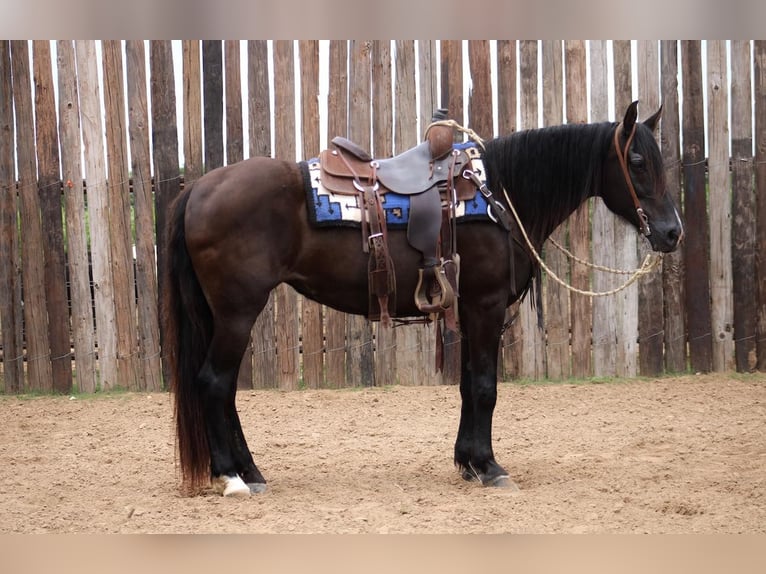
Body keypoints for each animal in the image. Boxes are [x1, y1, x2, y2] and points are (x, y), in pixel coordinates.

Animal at [162, 101, 684, 498]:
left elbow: (469, 385)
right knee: (214, 383)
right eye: (638, 162)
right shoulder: (486, 306)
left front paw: (468, 462)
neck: (499, 195)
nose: (672, 232)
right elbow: (485, 387)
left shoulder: (470, 310)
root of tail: (200, 188)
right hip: (237, 312)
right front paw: (490, 467)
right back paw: (232, 477)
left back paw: (250, 471)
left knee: (226, 389)